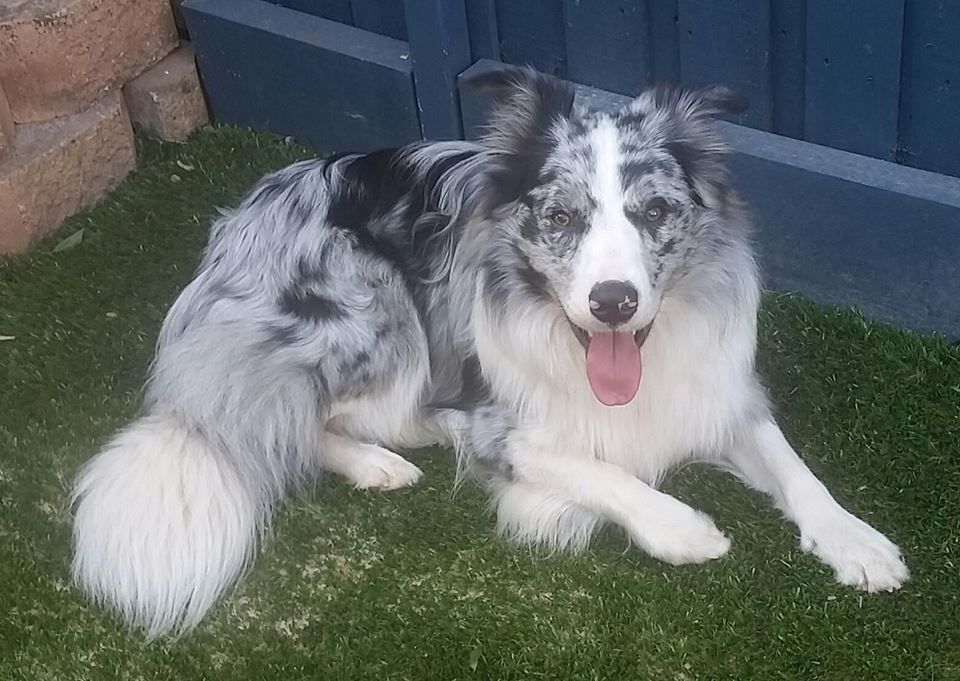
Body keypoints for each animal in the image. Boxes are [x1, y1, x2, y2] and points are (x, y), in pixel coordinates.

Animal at [71, 66, 908, 638]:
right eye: (561, 216)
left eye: (655, 212)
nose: (613, 301)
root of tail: (233, 231)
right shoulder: (504, 423)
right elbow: (599, 468)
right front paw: (684, 529)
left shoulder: (716, 389)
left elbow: (794, 468)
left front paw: (856, 541)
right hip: (375, 314)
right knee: (287, 420)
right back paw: (376, 461)